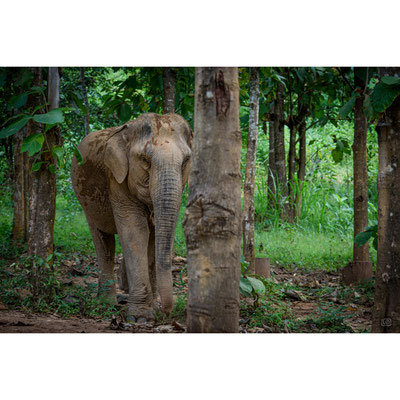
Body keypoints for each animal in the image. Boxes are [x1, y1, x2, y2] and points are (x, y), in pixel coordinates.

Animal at [71, 112, 193, 322]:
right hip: (86, 201)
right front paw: (140, 318)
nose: (166, 312)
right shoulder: (116, 178)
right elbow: (136, 230)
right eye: (145, 159)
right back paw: (106, 303)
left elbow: (155, 235)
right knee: (103, 240)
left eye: (186, 160)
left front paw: (151, 309)